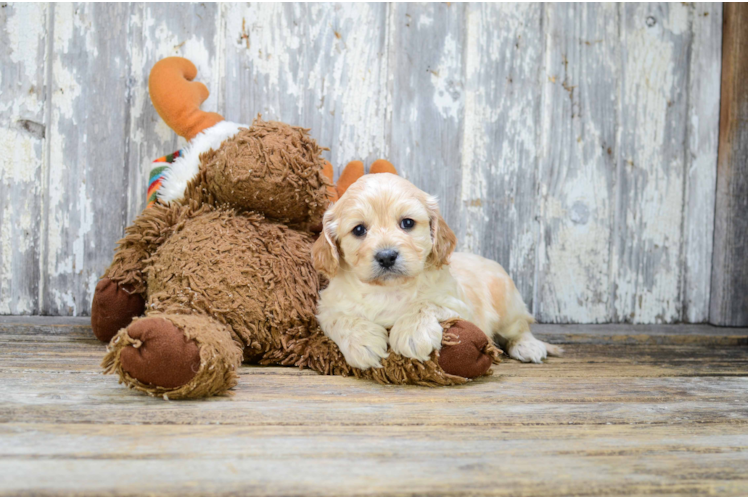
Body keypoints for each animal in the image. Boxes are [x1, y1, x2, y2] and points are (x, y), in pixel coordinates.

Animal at [312, 174, 560, 370]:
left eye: (407, 223)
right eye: (359, 230)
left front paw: (412, 334)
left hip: (507, 303)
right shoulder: (327, 308)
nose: (387, 256)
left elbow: (426, 303)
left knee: (520, 328)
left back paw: (529, 346)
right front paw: (364, 342)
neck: (389, 289)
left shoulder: (458, 304)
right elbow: (341, 319)